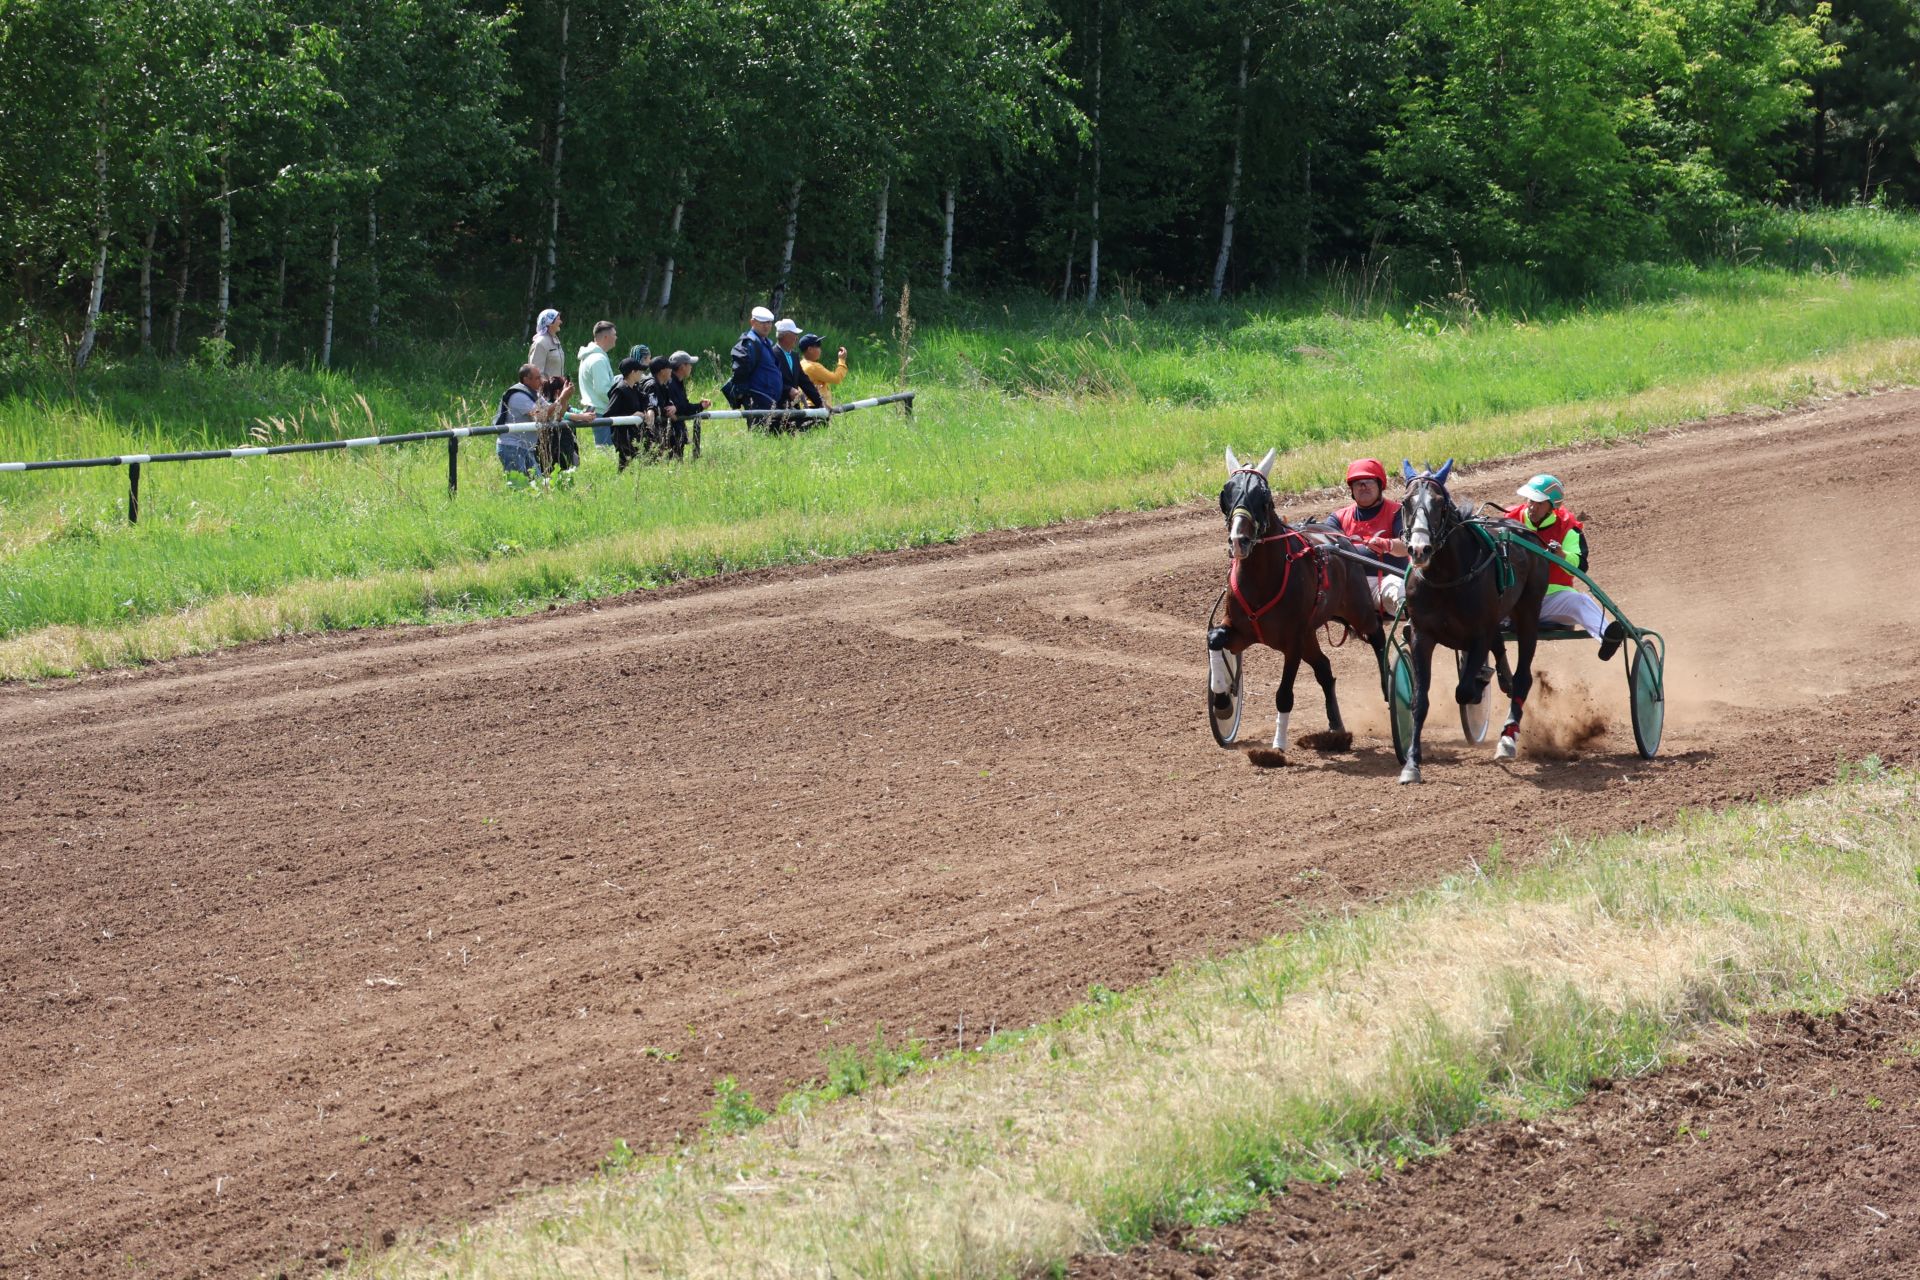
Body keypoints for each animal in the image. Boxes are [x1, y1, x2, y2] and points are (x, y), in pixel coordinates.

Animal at [1205, 449, 1390, 756]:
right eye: (1225, 494)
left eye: (1264, 497)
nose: (1239, 540)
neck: (1261, 578)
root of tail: (1343, 541)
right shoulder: (1240, 630)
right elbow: (1215, 639)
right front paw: (1223, 701)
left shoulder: (1292, 641)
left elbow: (1283, 694)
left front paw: (1277, 747)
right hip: (1310, 634)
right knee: (1325, 669)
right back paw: (1336, 728)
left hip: (1357, 609)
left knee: (1378, 637)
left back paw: (1391, 687)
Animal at [1405, 454, 1551, 786]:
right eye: (1406, 502)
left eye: (1438, 503)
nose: (1419, 549)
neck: (1445, 578)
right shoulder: (1422, 635)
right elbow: (1420, 702)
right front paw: (1411, 763)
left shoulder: (1479, 633)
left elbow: (1464, 690)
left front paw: (1479, 684)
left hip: (1529, 610)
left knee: (1523, 676)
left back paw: (1508, 736)